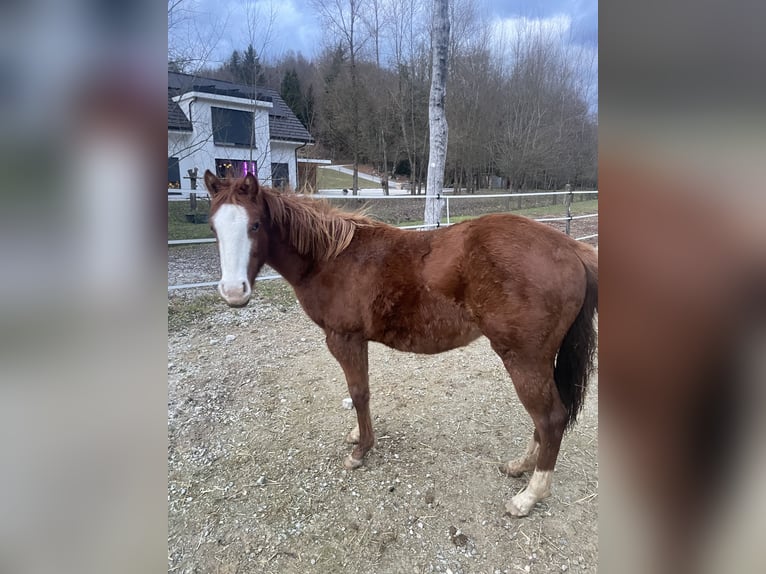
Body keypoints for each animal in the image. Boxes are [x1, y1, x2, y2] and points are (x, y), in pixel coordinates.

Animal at [204, 171, 600, 516]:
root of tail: (570, 248)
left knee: (551, 418)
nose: (234, 292)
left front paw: (361, 451)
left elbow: (359, 393)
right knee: (548, 417)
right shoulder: (357, 341)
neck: (331, 259)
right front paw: (358, 435)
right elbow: (359, 393)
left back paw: (529, 496)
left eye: (255, 225)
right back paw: (520, 466)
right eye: (213, 228)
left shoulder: (343, 339)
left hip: (524, 359)